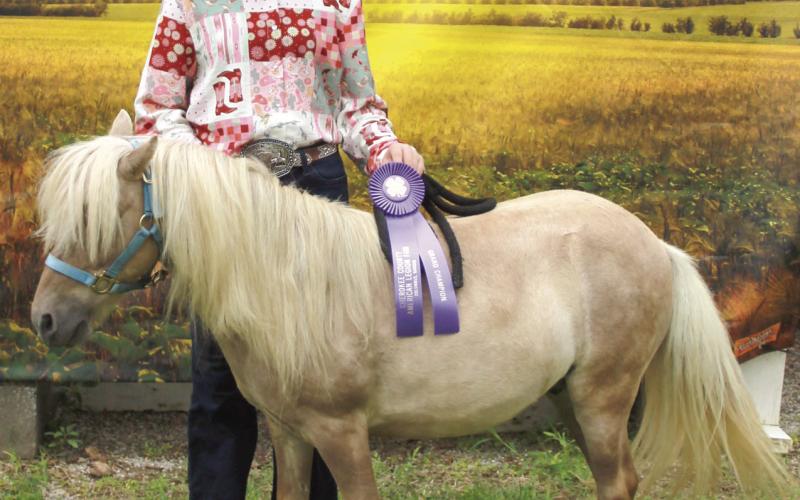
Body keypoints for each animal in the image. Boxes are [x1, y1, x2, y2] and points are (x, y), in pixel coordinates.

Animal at [30, 110, 789, 499]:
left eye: (97, 220)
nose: (43, 319)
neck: (287, 280)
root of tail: (657, 245)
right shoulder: (290, 433)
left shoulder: (342, 433)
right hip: (574, 400)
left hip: (604, 400)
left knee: (619, 480)